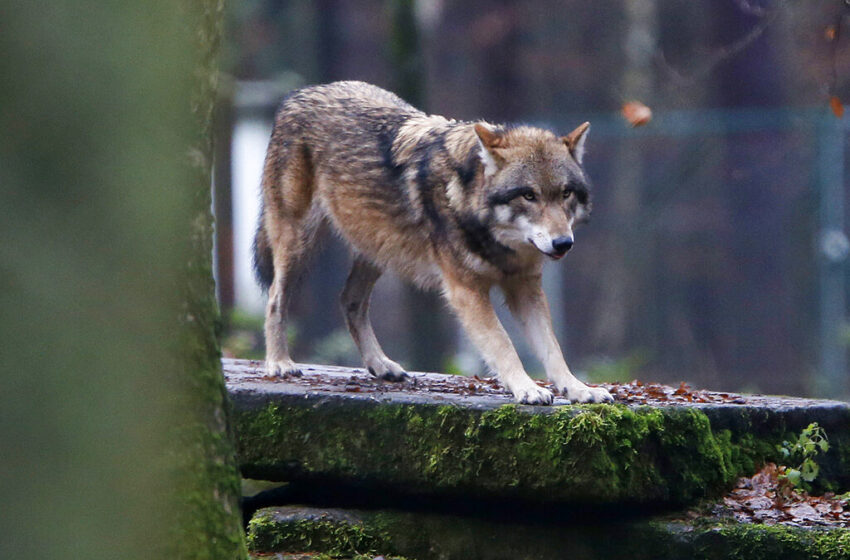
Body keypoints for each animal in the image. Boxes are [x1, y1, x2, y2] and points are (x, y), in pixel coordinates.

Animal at [252, 81, 608, 404]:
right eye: (529, 195)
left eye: (565, 193)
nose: (563, 243)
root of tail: (299, 93)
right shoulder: (466, 291)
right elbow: (503, 343)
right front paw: (527, 388)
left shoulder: (526, 288)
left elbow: (552, 347)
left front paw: (578, 388)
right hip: (300, 243)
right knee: (275, 298)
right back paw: (279, 363)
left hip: (378, 249)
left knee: (349, 301)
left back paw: (381, 365)